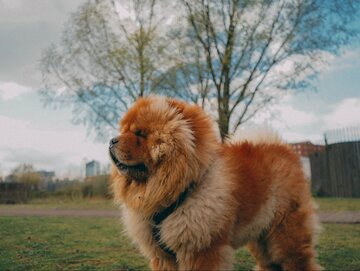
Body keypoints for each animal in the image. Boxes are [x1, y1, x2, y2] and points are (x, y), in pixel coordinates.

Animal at [108, 96, 322, 270]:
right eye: (124, 130)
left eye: (140, 133)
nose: (112, 140)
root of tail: (283, 149)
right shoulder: (163, 256)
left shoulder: (202, 248)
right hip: (260, 235)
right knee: (269, 264)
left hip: (286, 233)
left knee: (297, 261)